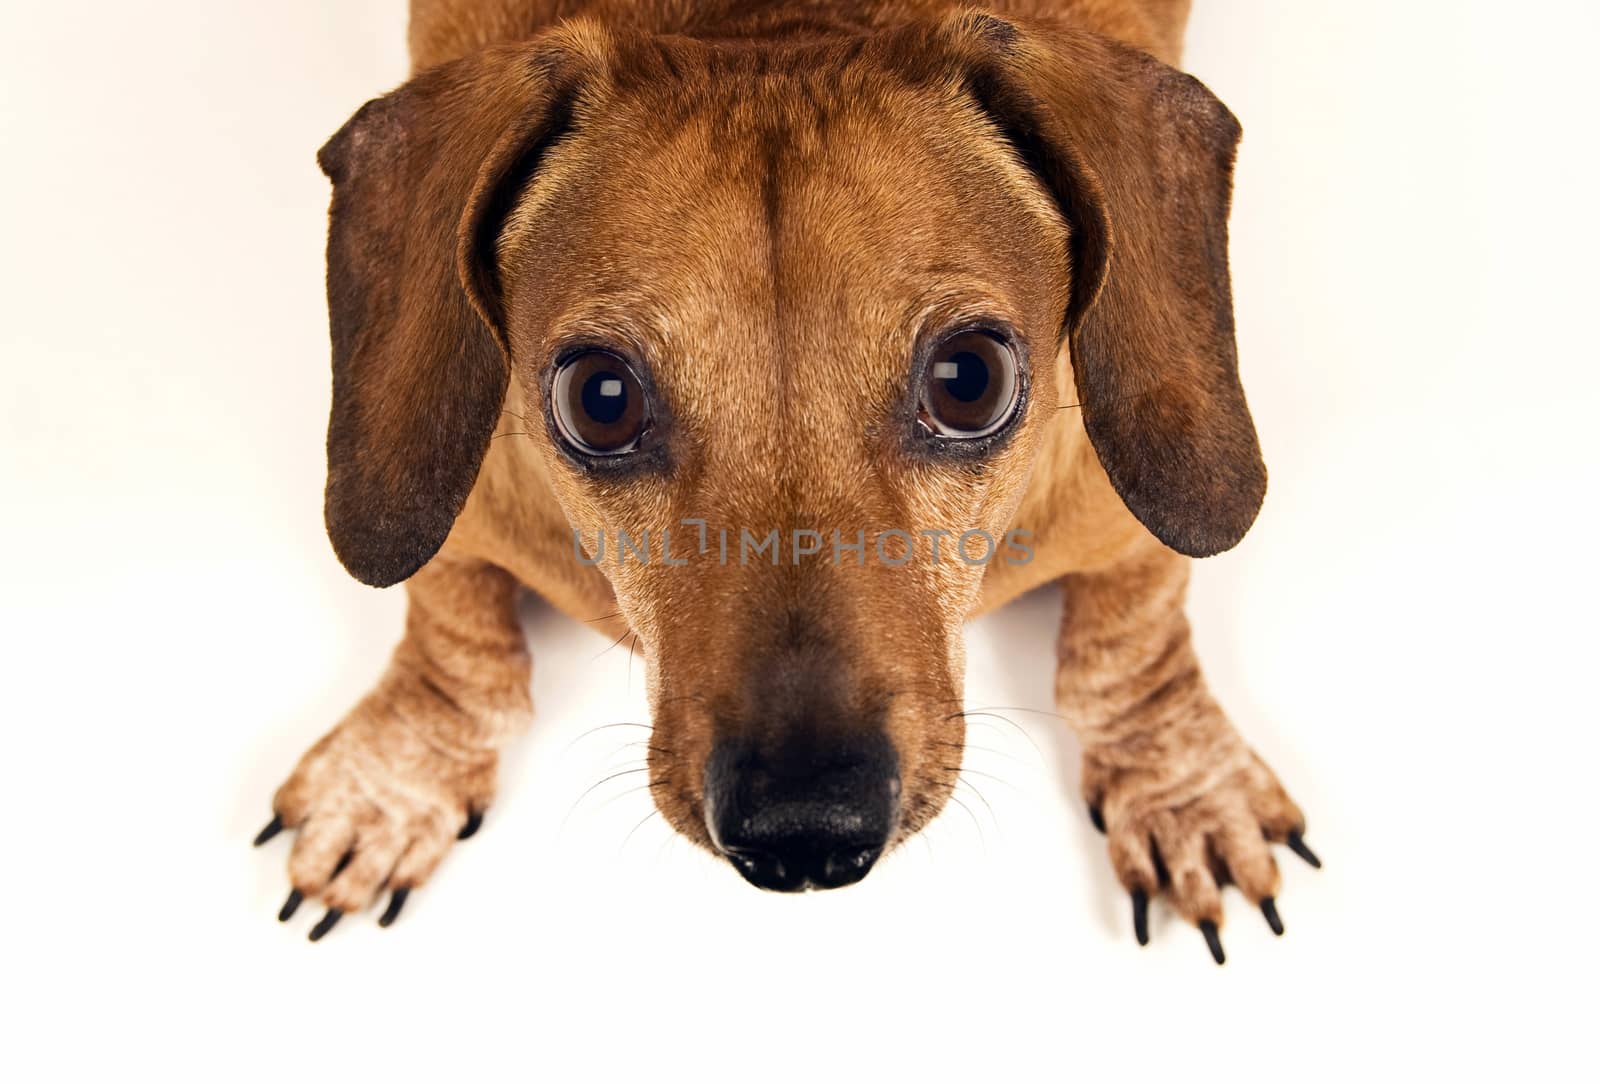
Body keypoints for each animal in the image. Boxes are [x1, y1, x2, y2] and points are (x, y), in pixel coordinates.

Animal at [256, 0, 1318, 965]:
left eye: (970, 378)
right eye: (598, 398)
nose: (805, 832)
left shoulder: (1121, 514)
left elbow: (1128, 651)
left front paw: (1183, 789)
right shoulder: (465, 509)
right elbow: (457, 646)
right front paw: (391, 783)